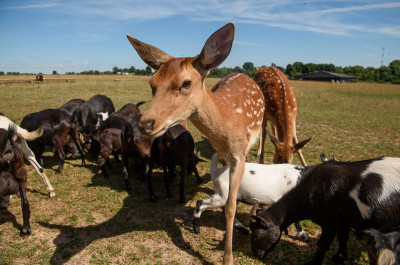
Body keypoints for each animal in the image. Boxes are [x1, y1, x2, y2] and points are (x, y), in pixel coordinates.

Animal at [127, 22, 266, 262]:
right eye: (152, 83)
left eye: (186, 83)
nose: (145, 124)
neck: (227, 128)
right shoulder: (224, 152)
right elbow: (227, 198)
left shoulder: (239, 154)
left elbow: (231, 205)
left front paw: (227, 258)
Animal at [250, 156, 400, 262]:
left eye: (256, 235)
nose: (255, 254)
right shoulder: (343, 220)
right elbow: (342, 237)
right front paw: (340, 257)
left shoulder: (330, 222)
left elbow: (322, 244)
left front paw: (313, 263)